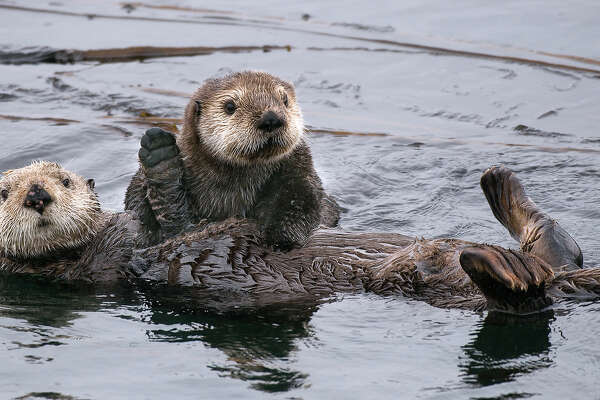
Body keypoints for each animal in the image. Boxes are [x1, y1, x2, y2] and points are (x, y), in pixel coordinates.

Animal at [0, 161, 596, 314]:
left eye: (65, 180)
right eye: (5, 190)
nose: (37, 195)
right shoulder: (91, 267)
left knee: (557, 247)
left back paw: (503, 190)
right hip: (435, 284)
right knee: (527, 297)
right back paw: (495, 265)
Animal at [124, 70, 340, 248]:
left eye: (285, 99)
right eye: (229, 106)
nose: (271, 118)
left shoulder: (298, 171)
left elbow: (302, 202)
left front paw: (281, 238)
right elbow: (135, 203)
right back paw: (160, 156)